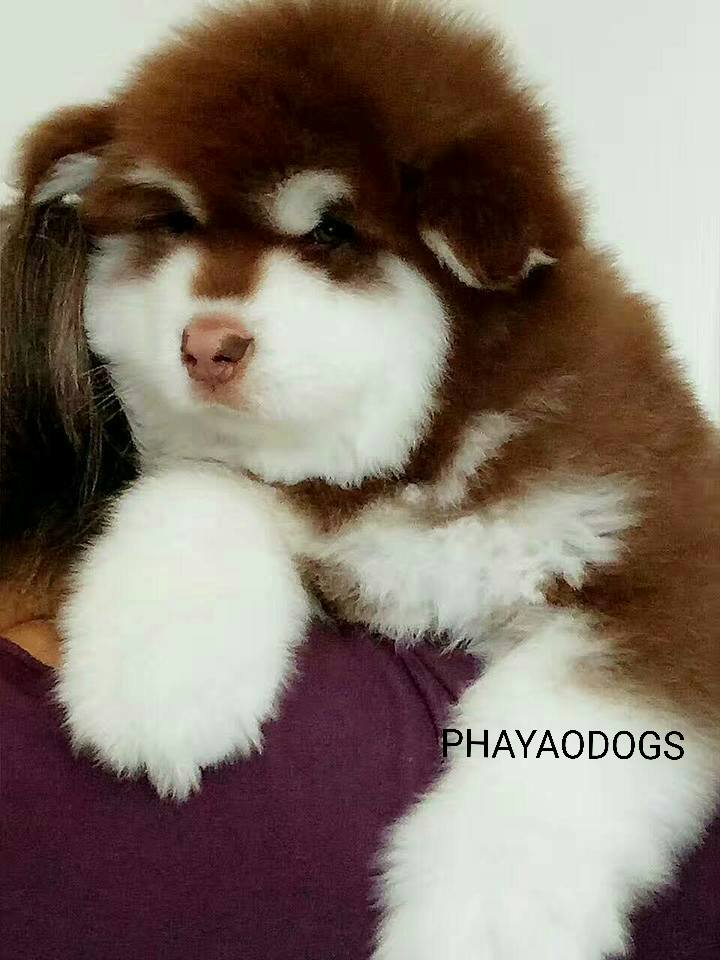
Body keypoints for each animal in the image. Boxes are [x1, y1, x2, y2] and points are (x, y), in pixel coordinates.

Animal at [2, 1, 719, 957]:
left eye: (330, 232)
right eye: (178, 226)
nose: (207, 345)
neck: (403, 464)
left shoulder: (661, 565)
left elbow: (561, 746)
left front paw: (483, 922)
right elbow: (199, 490)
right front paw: (161, 674)